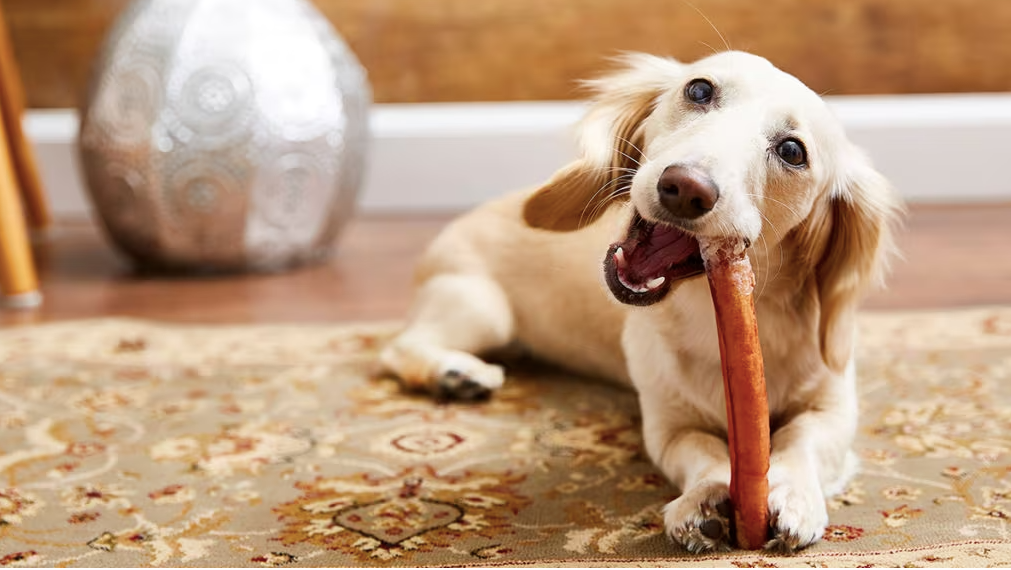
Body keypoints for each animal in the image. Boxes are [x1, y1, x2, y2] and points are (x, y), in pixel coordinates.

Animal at [380, 52, 901, 553]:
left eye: (793, 151)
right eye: (699, 89)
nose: (687, 187)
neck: (709, 319)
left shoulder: (831, 407)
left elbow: (801, 441)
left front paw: (793, 496)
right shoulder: (668, 424)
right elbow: (701, 450)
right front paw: (704, 498)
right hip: (485, 310)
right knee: (397, 349)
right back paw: (455, 373)